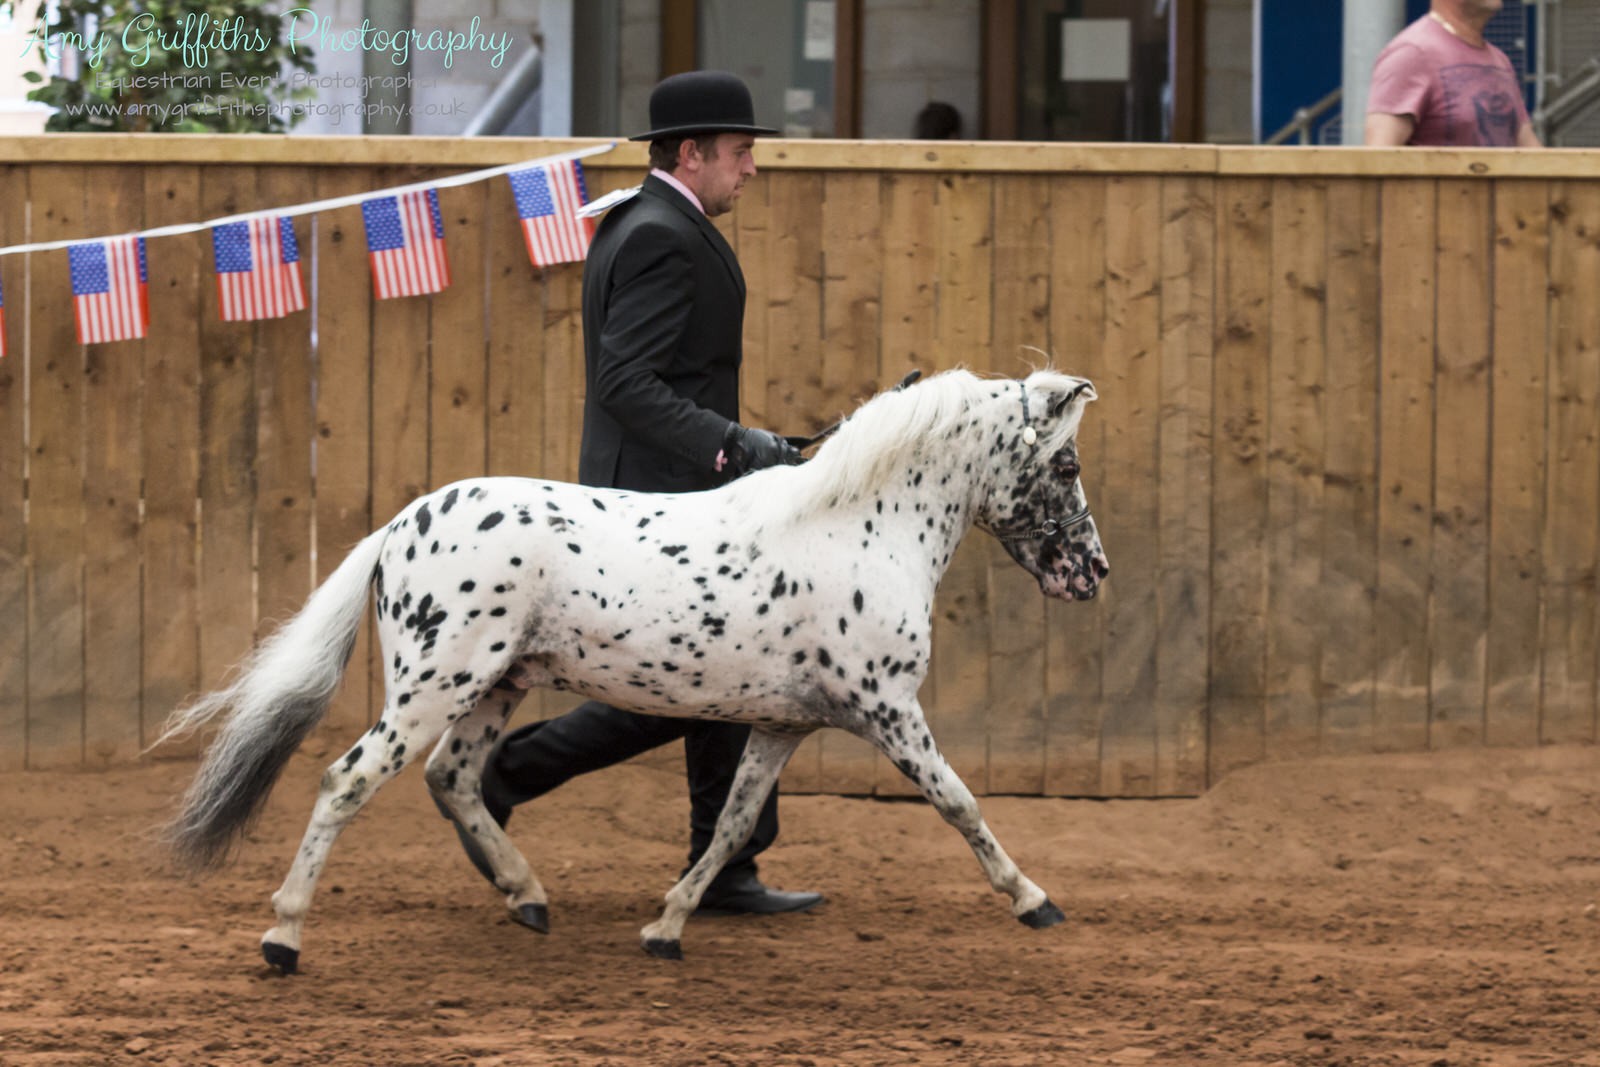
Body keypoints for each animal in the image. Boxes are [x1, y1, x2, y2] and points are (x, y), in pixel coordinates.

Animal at [162, 369, 1113, 979]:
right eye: (1066, 464)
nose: (1092, 572)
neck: (857, 529)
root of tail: (401, 525)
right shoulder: (887, 709)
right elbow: (961, 803)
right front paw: (1035, 900)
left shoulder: (781, 725)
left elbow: (730, 826)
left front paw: (666, 927)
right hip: (434, 685)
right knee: (346, 779)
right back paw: (284, 938)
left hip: (495, 687)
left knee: (454, 778)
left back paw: (526, 896)